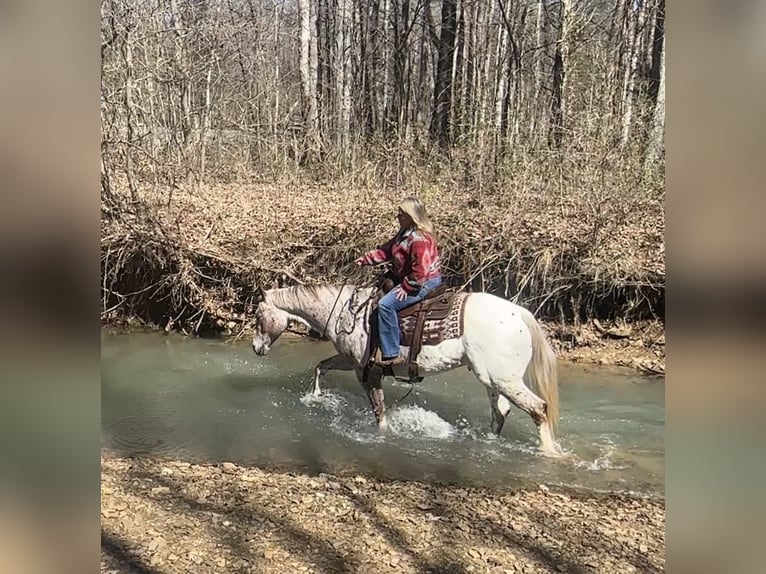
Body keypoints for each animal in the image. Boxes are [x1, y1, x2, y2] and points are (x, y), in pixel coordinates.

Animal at [250, 284, 563, 456]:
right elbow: (321, 366)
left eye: (257, 315)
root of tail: (521, 314)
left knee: (538, 409)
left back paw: (550, 453)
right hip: (490, 378)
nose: (256, 348)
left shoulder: (367, 371)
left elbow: (379, 412)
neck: (344, 312)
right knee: (501, 412)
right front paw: (316, 397)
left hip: (504, 379)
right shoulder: (351, 361)